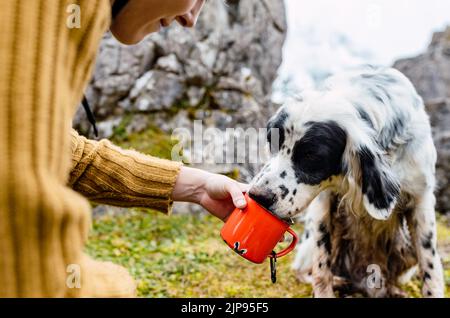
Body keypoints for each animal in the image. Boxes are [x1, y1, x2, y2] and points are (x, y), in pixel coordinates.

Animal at [251, 66, 444, 296]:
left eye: (311, 156)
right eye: (272, 142)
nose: (257, 196)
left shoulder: (421, 198)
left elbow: (430, 265)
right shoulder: (324, 202)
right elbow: (322, 265)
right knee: (303, 269)